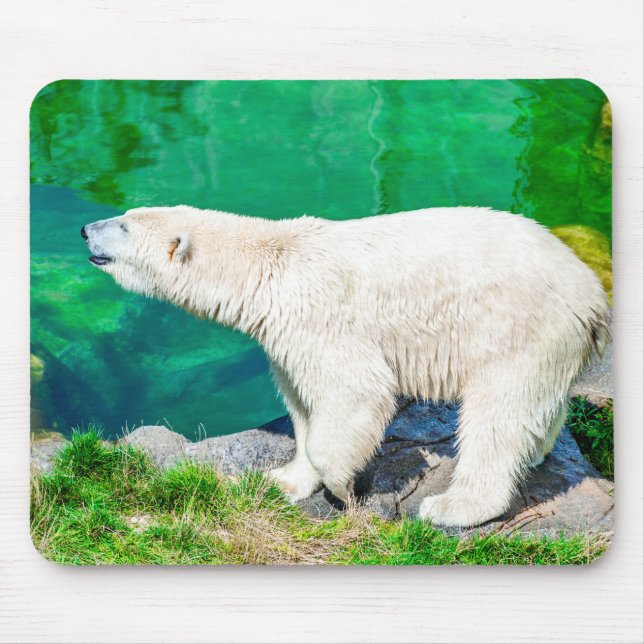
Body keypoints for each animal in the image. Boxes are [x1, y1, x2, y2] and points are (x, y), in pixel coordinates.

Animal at [81, 206, 609, 527]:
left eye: (124, 226)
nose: (85, 228)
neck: (271, 266)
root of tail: (592, 295)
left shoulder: (320, 315)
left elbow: (355, 391)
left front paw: (341, 487)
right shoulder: (283, 335)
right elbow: (302, 404)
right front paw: (286, 480)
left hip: (518, 328)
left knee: (497, 414)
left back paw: (454, 506)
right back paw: (536, 453)